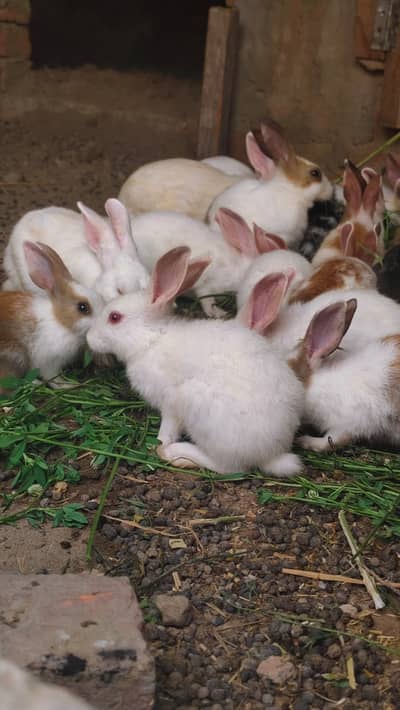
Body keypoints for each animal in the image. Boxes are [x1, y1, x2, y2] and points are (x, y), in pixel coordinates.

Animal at [0, 241, 103, 391]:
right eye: (83, 307)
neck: (60, 321)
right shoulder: (48, 362)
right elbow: (53, 378)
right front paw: (68, 385)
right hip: (16, 357)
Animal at [87, 246, 305, 477]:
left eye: (114, 317)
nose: (89, 338)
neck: (151, 340)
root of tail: (273, 453)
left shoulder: (170, 403)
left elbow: (167, 430)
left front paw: (160, 445)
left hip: (199, 409)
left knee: (228, 467)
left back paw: (178, 454)